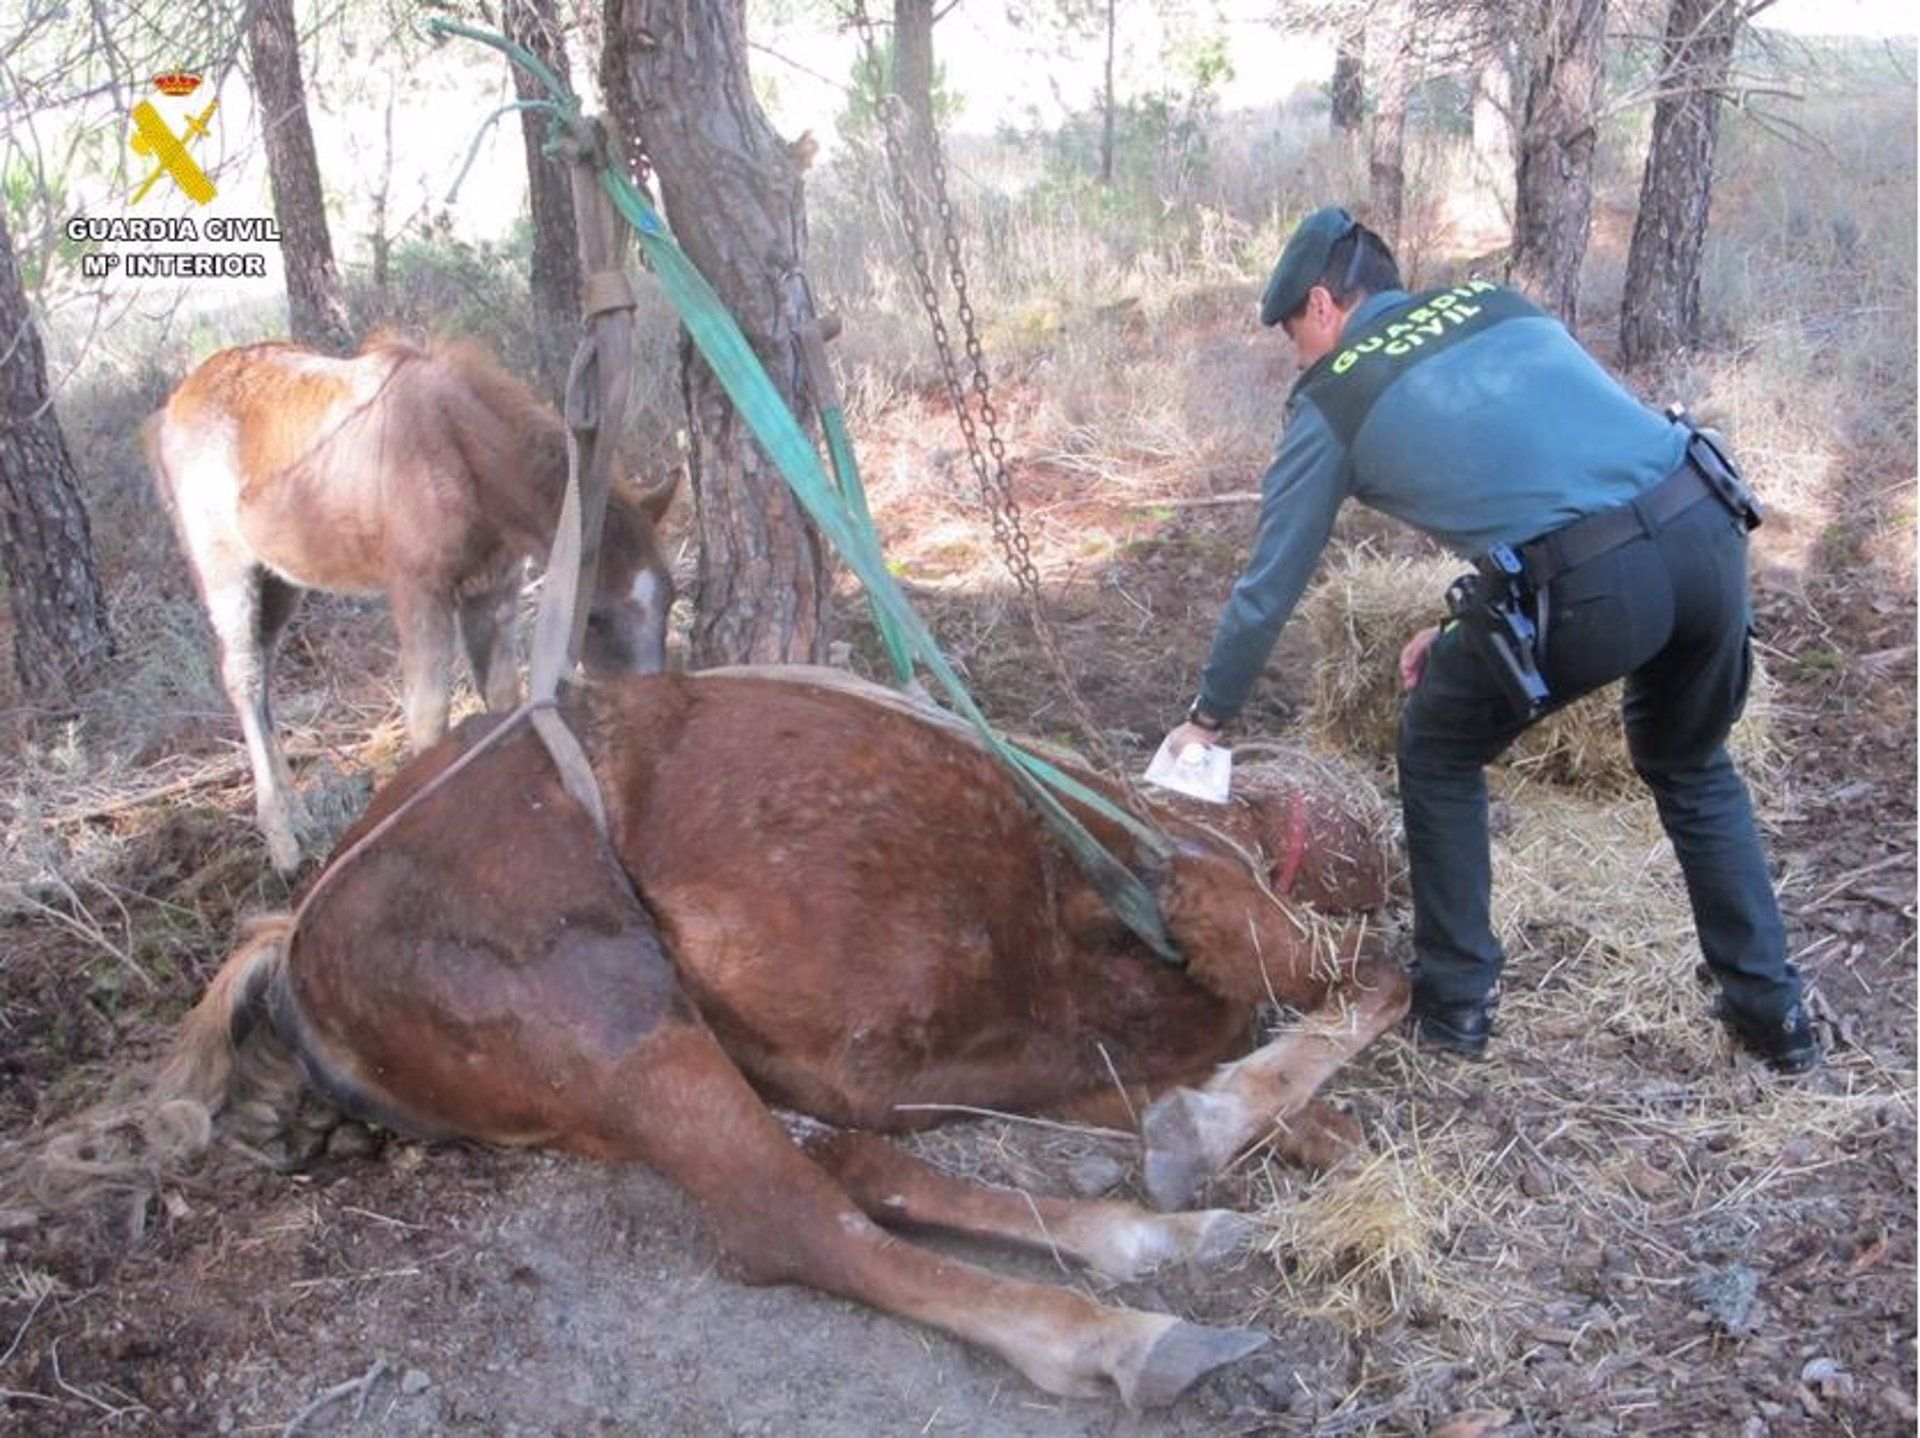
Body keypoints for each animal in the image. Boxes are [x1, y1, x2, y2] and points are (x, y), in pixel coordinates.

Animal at [82, 675, 1405, 1413]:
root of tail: (297, 930)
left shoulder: (1063, 1056)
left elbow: (1284, 1099)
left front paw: (1236, 1142)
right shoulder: (1229, 924)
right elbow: (1377, 981)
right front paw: (1220, 1128)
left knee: (850, 1167)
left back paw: (1148, 1236)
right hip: (621, 1018)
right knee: (791, 1220)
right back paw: (1127, 1338)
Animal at [145, 339, 679, 875]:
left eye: (672, 598)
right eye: (595, 616)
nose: (653, 711)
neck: (461, 459)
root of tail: (170, 410)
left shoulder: (494, 588)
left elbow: (503, 696)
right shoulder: (418, 591)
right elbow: (427, 713)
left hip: (279, 578)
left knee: (265, 669)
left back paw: (297, 816)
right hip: (226, 571)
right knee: (244, 675)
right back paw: (282, 842)